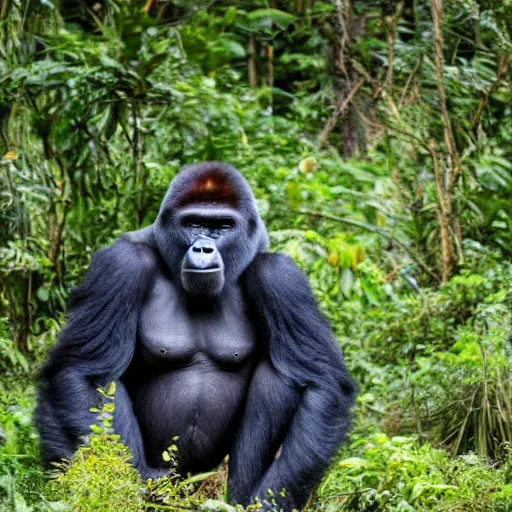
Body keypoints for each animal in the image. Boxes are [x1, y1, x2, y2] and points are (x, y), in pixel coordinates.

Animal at [37, 162, 356, 510]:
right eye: (194, 223)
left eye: (222, 227)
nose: (203, 246)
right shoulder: (121, 264)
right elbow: (82, 372)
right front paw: (125, 487)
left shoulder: (280, 277)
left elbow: (321, 383)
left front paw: (269, 501)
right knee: (101, 383)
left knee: (281, 380)